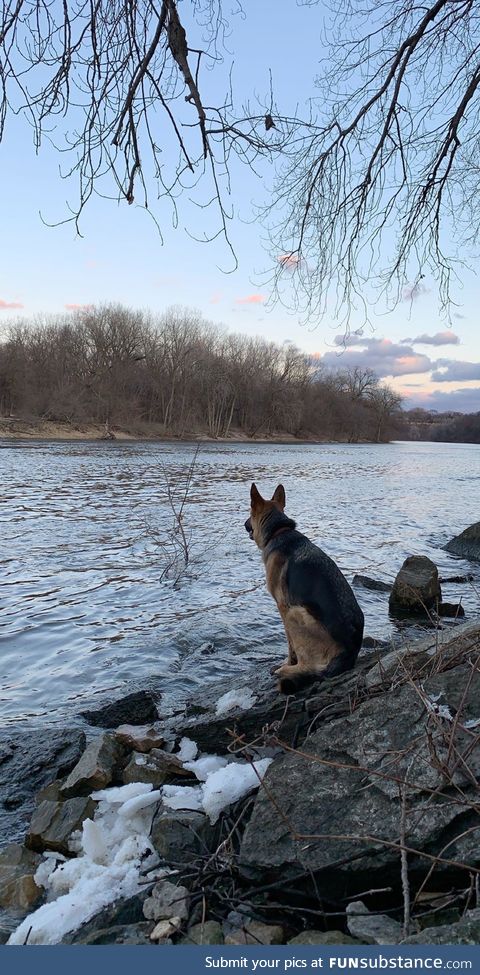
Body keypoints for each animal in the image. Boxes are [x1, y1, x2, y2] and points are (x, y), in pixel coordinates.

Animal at [246, 484, 362, 692]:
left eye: (249, 514)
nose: (244, 525)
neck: (279, 531)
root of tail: (350, 651)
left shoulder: (283, 607)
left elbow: (289, 644)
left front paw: (286, 662)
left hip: (296, 613)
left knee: (309, 665)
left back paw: (284, 671)